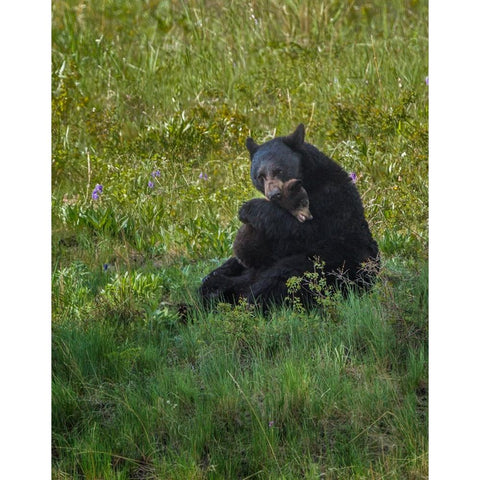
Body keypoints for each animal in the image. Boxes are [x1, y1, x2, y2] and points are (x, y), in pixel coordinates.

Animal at [199, 123, 378, 304]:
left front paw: (248, 209)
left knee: (284, 276)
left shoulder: (330, 200)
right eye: (260, 176)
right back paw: (212, 286)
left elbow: (306, 230)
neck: (310, 178)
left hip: (334, 263)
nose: (273, 194)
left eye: (279, 170)